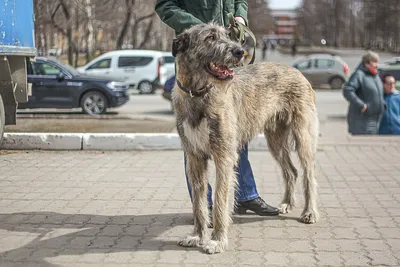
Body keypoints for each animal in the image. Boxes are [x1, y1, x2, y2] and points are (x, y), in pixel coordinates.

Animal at [173, 22, 320, 254]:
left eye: (226, 35)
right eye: (210, 38)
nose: (239, 51)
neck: (199, 94)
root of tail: (297, 70)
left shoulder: (224, 156)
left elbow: (220, 201)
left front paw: (217, 240)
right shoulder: (194, 157)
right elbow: (199, 202)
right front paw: (197, 236)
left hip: (303, 134)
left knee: (308, 174)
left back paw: (310, 212)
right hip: (275, 139)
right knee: (291, 171)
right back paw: (287, 203)